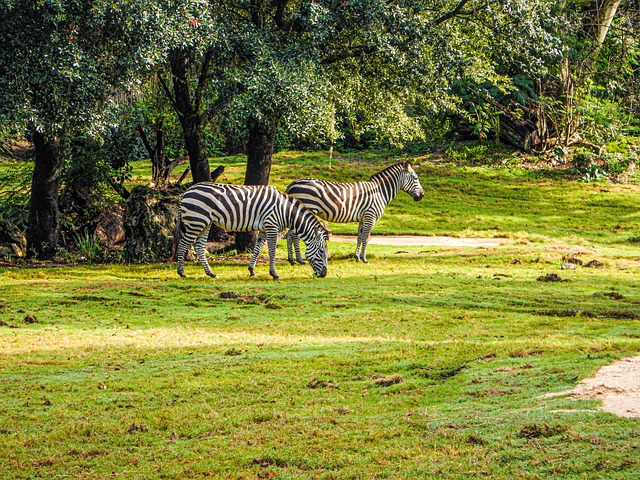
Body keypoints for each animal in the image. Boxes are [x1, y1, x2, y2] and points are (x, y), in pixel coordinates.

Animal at [175, 183, 329, 280]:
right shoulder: (271, 226)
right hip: (196, 221)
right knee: (183, 244)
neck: (285, 211)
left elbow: (258, 249)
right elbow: (272, 251)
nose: (324, 275)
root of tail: (186, 192)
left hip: (204, 223)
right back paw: (181, 272)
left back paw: (211, 273)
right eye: (322, 251)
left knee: (199, 247)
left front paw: (252, 270)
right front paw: (274, 274)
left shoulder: (263, 229)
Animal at [283, 161, 424, 264]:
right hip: (305, 208)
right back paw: (299, 260)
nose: (422, 196)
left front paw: (357, 257)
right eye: (415, 178)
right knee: (294, 235)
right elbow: (366, 237)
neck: (380, 192)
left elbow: (359, 237)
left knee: (289, 235)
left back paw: (292, 260)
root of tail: (292, 183)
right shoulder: (370, 216)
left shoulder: (363, 218)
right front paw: (364, 258)